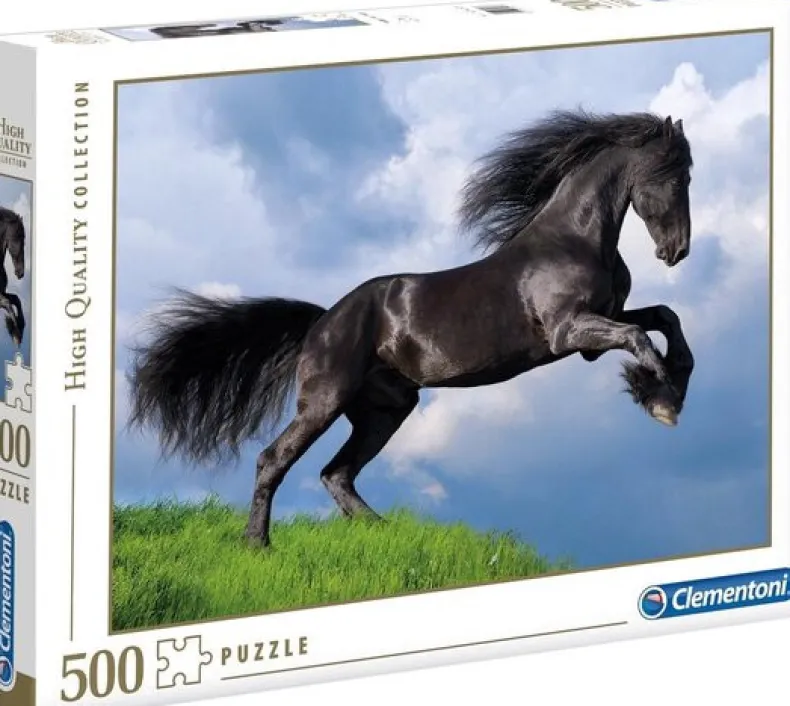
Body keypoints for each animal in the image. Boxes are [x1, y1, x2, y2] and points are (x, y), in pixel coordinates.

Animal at [127, 109, 696, 548]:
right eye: (675, 176)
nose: (677, 251)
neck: (572, 240)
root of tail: (322, 321)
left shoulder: (598, 328)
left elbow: (665, 320)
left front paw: (666, 390)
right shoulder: (568, 332)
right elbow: (641, 338)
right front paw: (661, 400)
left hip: (385, 409)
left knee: (337, 474)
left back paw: (383, 533)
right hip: (325, 400)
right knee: (275, 459)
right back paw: (257, 544)